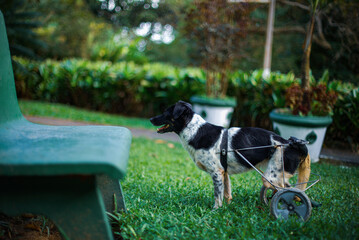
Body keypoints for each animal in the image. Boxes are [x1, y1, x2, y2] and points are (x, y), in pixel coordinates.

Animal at [150, 101, 310, 208]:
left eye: (166, 112)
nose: (151, 119)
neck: (195, 131)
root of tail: (289, 143)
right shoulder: (224, 172)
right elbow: (227, 194)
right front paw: (225, 209)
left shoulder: (216, 173)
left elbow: (217, 195)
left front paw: (215, 210)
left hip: (272, 177)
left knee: (287, 192)